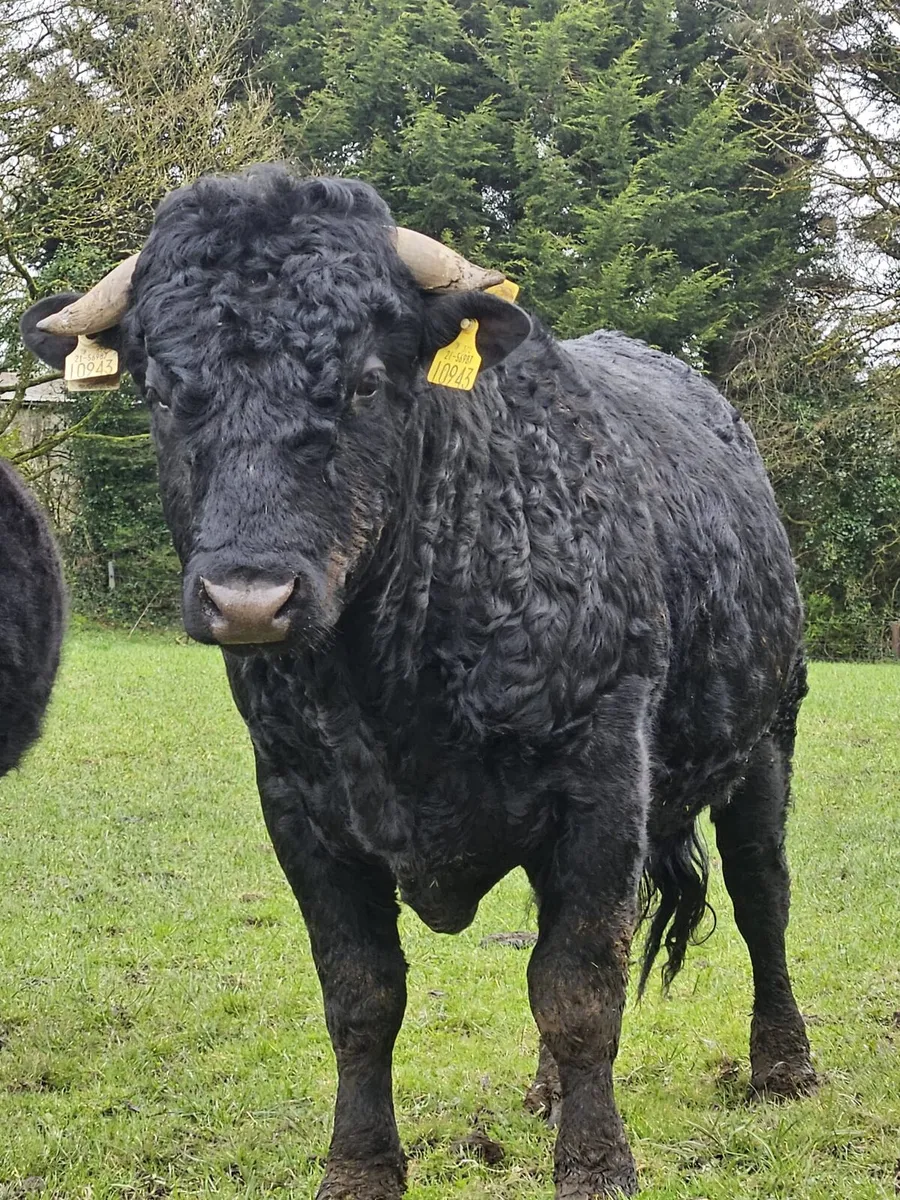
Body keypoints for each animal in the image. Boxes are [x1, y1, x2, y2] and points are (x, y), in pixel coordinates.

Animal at [21, 165, 816, 1199]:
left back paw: (783, 1066)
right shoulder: (299, 802)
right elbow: (362, 997)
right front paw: (359, 1168)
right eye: (159, 390)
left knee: (764, 896)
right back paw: (546, 1092)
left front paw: (597, 1166)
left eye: (364, 381)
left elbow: (580, 988)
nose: (248, 597)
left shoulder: (603, 782)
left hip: (768, 736)